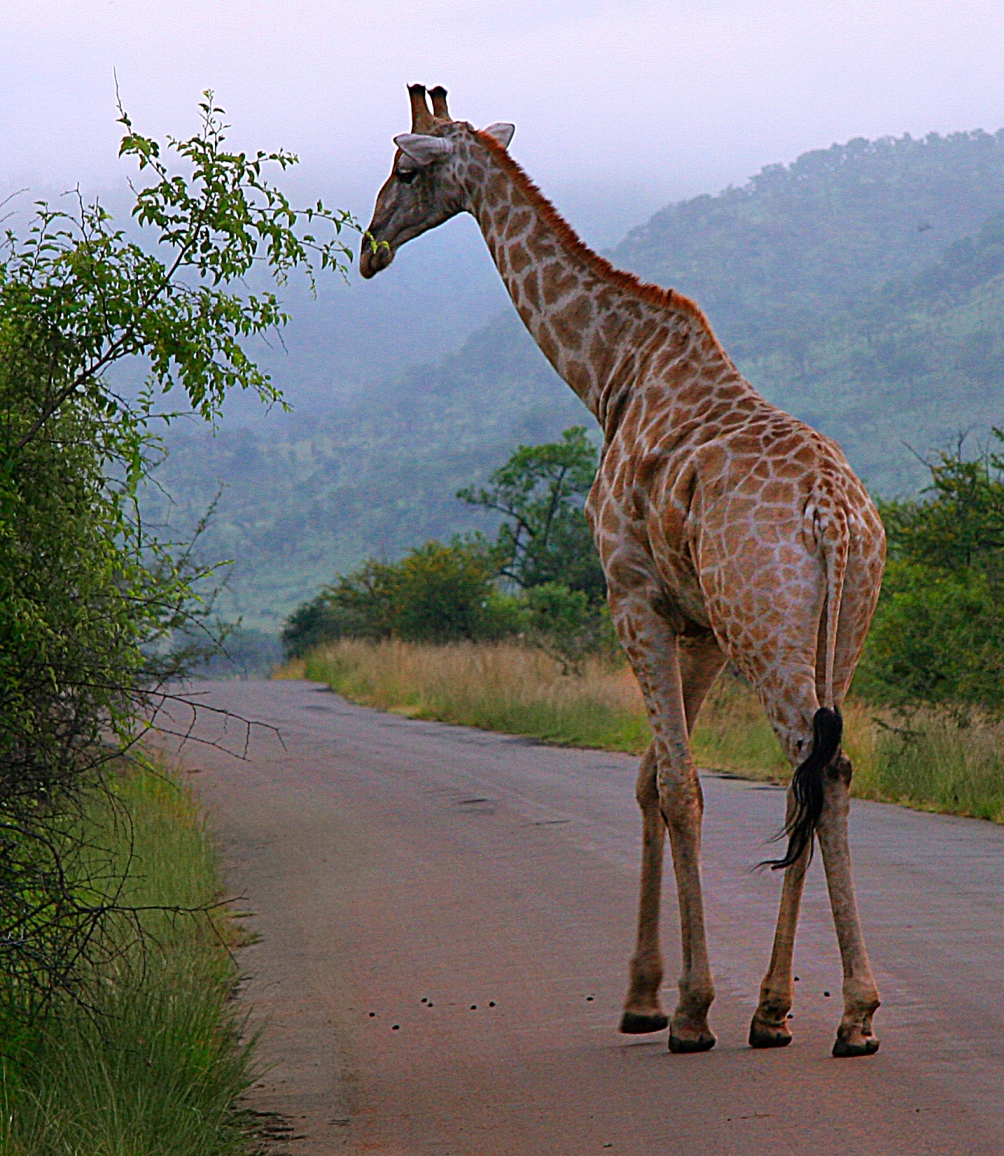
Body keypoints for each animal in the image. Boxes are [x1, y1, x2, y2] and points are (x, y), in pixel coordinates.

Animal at [362, 83, 887, 1058]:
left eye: (406, 168)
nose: (370, 246)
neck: (610, 374)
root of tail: (834, 518)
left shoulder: (632, 598)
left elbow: (678, 788)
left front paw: (687, 1010)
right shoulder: (700, 625)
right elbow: (649, 780)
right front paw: (647, 995)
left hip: (770, 636)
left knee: (815, 765)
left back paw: (856, 1016)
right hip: (838, 631)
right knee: (817, 774)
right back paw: (779, 1010)